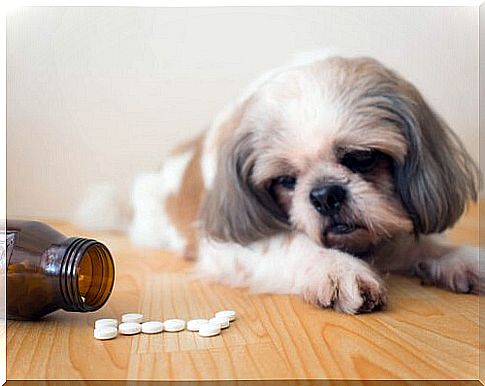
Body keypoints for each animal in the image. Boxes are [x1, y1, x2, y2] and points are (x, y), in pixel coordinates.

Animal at [130, 53, 480, 314]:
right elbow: (290, 241)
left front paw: (458, 258)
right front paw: (335, 267)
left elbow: (420, 244)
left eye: (362, 157)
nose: (325, 195)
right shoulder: (232, 245)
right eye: (285, 180)